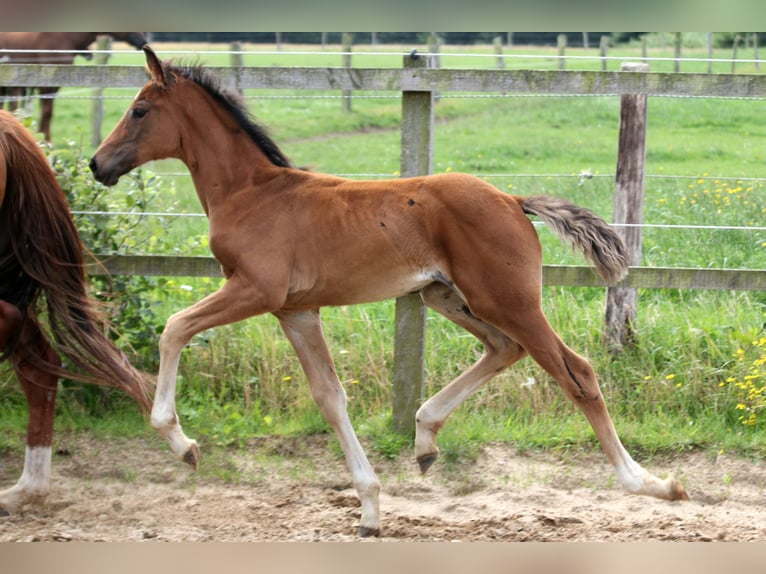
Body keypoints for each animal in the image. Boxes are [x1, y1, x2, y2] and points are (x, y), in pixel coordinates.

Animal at [0, 33, 147, 142]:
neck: (65, 38)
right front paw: (46, 141)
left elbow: (46, 112)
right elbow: (46, 112)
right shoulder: (45, 84)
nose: (143, 41)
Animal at [90, 47, 688, 536]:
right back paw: (424, 437)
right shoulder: (296, 311)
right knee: (504, 348)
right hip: (445, 297)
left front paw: (182, 443)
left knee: (575, 371)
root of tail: (513, 199)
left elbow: (174, 329)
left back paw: (653, 485)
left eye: (139, 110)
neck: (251, 194)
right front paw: (371, 509)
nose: (98, 164)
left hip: (508, 299)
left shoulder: (255, 290)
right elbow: (330, 397)